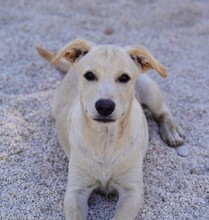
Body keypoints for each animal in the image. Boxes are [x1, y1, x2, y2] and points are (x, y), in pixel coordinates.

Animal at [36, 38, 185, 219]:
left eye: (124, 77)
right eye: (89, 75)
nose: (105, 106)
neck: (105, 140)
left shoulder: (133, 192)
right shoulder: (75, 191)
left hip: (150, 91)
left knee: (163, 111)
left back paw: (172, 131)